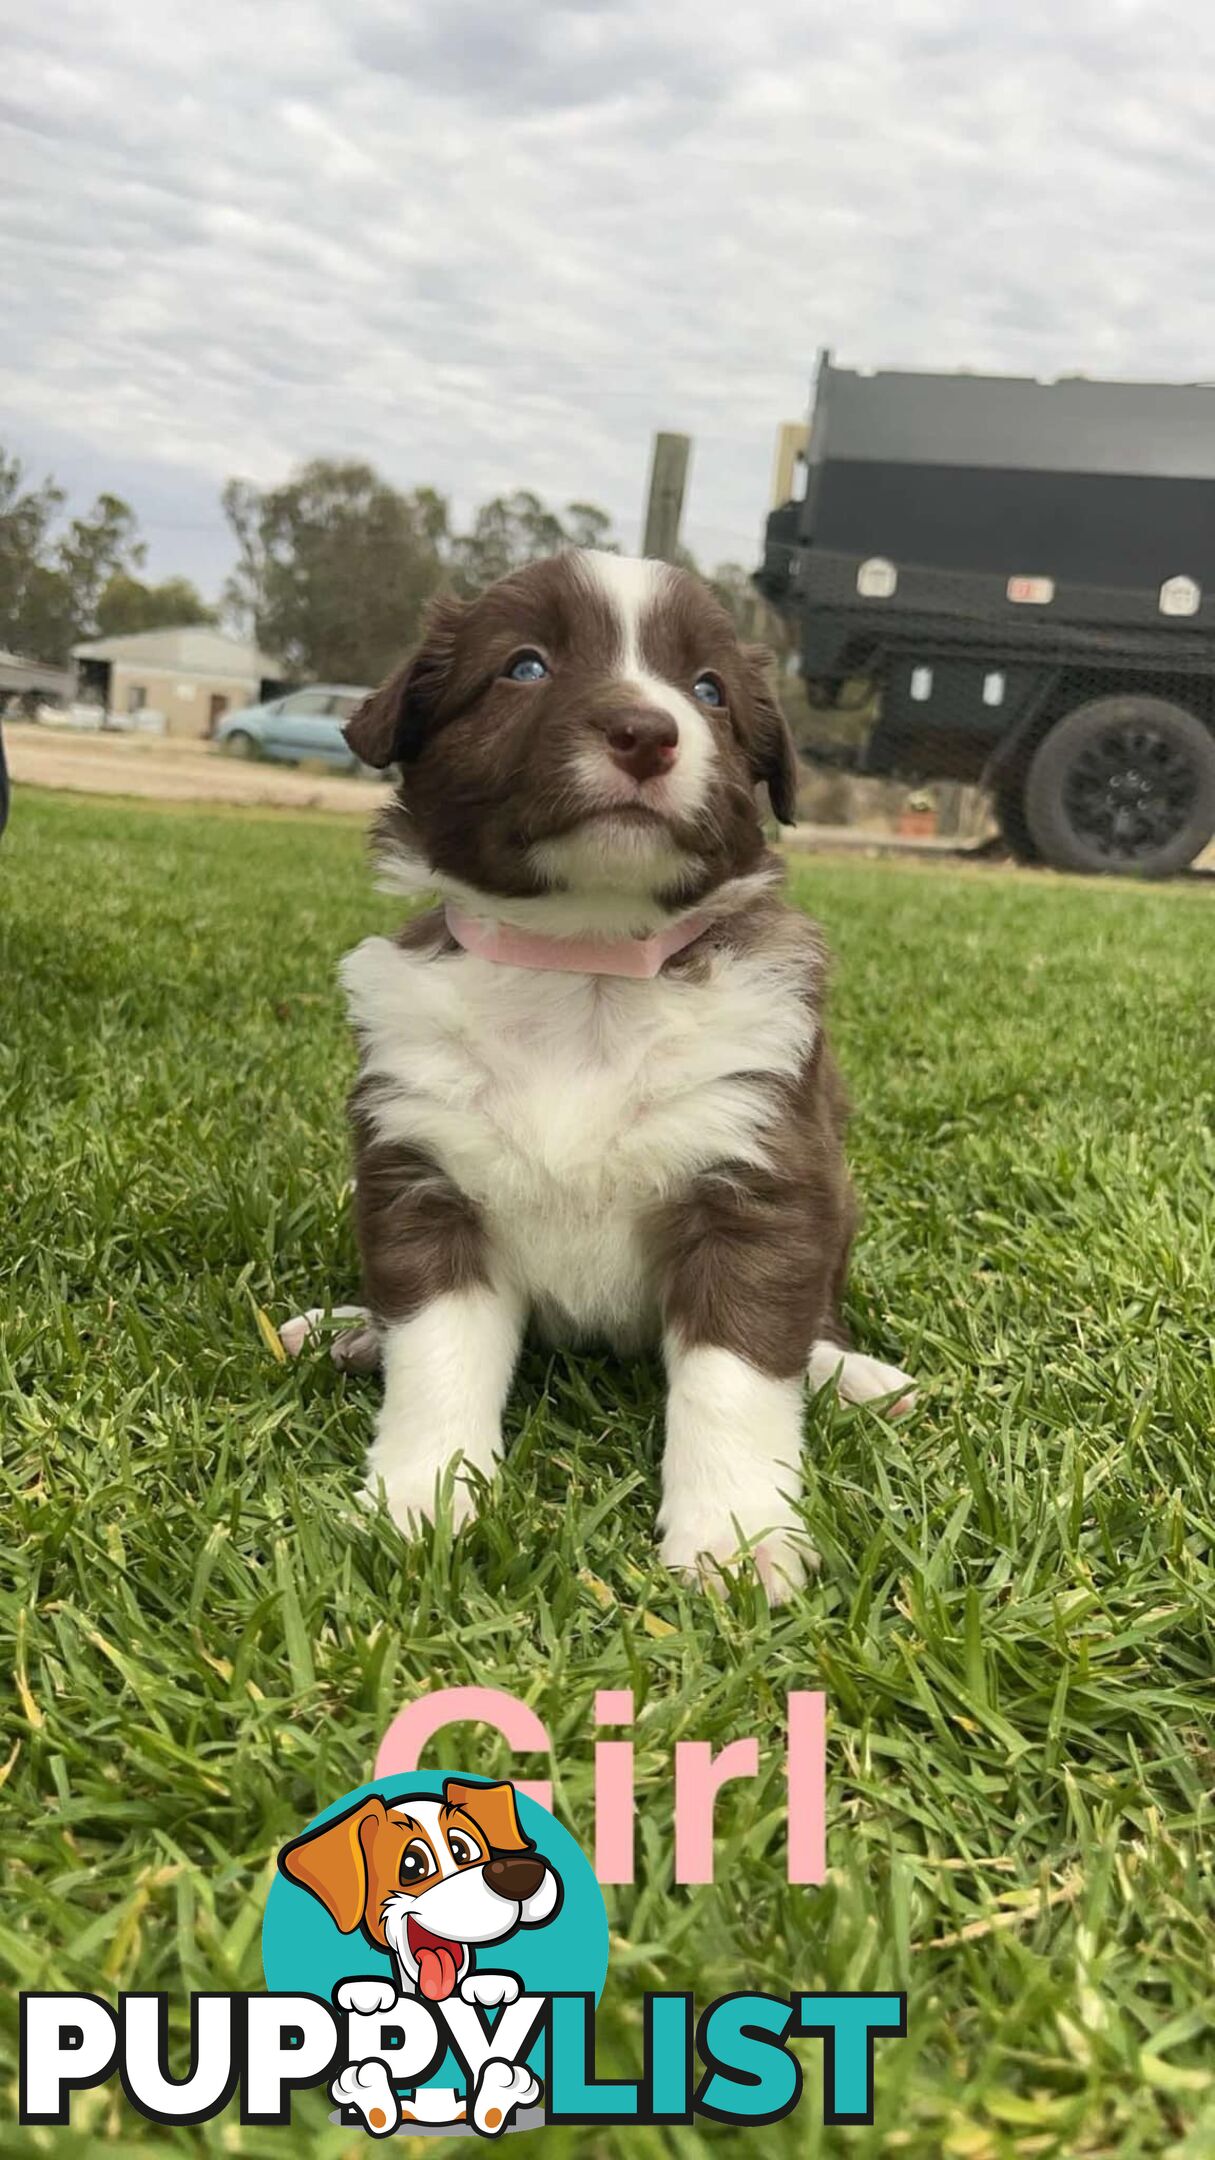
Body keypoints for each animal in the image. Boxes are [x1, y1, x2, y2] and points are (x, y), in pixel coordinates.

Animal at [302, 552, 908, 1607]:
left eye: (708, 690)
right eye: (524, 666)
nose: (646, 731)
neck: (583, 966)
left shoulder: (757, 1187)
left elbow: (735, 1381)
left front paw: (735, 1542)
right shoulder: (421, 1178)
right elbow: (437, 1359)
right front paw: (419, 1504)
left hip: (838, 1204)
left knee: (814, 1323)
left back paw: (848, 1374)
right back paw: (349, 1328)